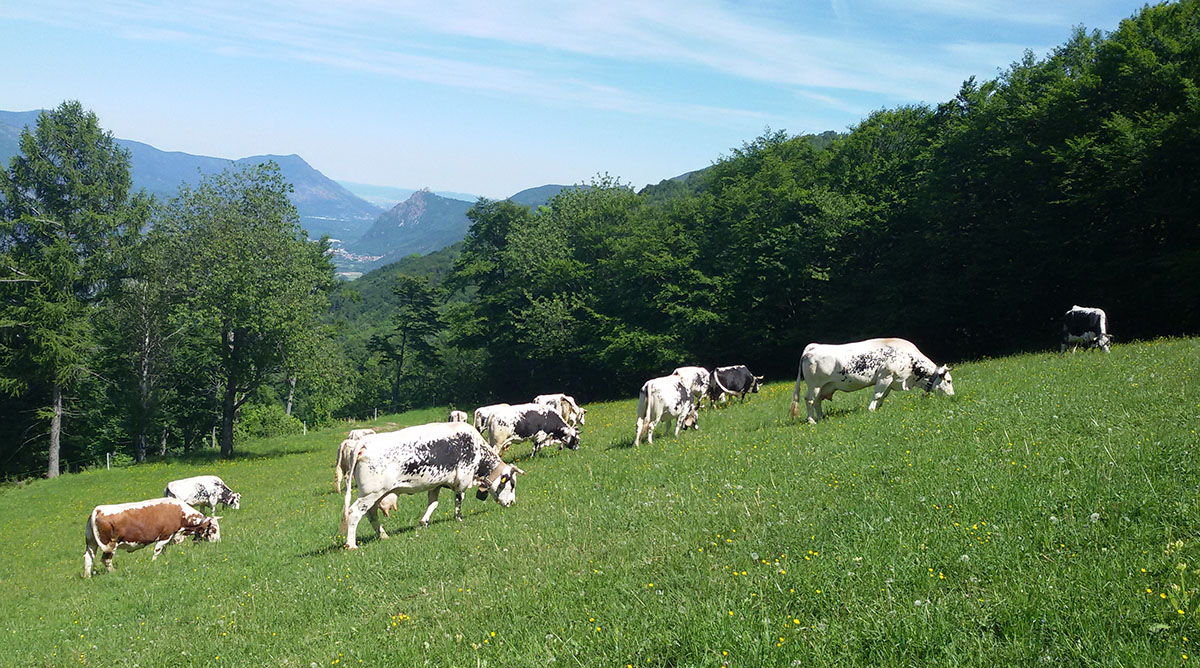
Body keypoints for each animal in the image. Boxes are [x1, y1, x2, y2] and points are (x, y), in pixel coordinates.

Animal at [82, 496, 220, 575]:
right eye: (213, 529)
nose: (218, 542)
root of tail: (97, 510)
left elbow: (163, 551)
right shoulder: (165, 535)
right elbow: (157, 551)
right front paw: (154, 563)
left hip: (91, 543)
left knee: (88, 558)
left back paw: (88, 577)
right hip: (110, 545)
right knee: (106, 560)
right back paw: (114, 574)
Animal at [338, 422, 525, 546]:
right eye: (512, 484)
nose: (512, 502)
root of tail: (364, 442)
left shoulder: (436, 484)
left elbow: (433, 504)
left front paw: (424, 522)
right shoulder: (462, 479)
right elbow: (459, 500)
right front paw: (459, 518)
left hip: (376, 494)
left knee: (371, 514)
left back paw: (383, 535)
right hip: (371, 493)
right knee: (354, 512)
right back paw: (351, 544)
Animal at [792, 335, 950, 424]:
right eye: (948, 381)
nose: (952, 395)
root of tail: (813, 347)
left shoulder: (892, 381)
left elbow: (884, 395)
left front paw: (879, 408)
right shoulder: (885, 376)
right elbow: (878, 394)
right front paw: (872, 409)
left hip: (823, 386)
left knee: (817, 401)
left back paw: (821, 417)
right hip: (814, 385)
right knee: (809, 400)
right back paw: (812, 420)